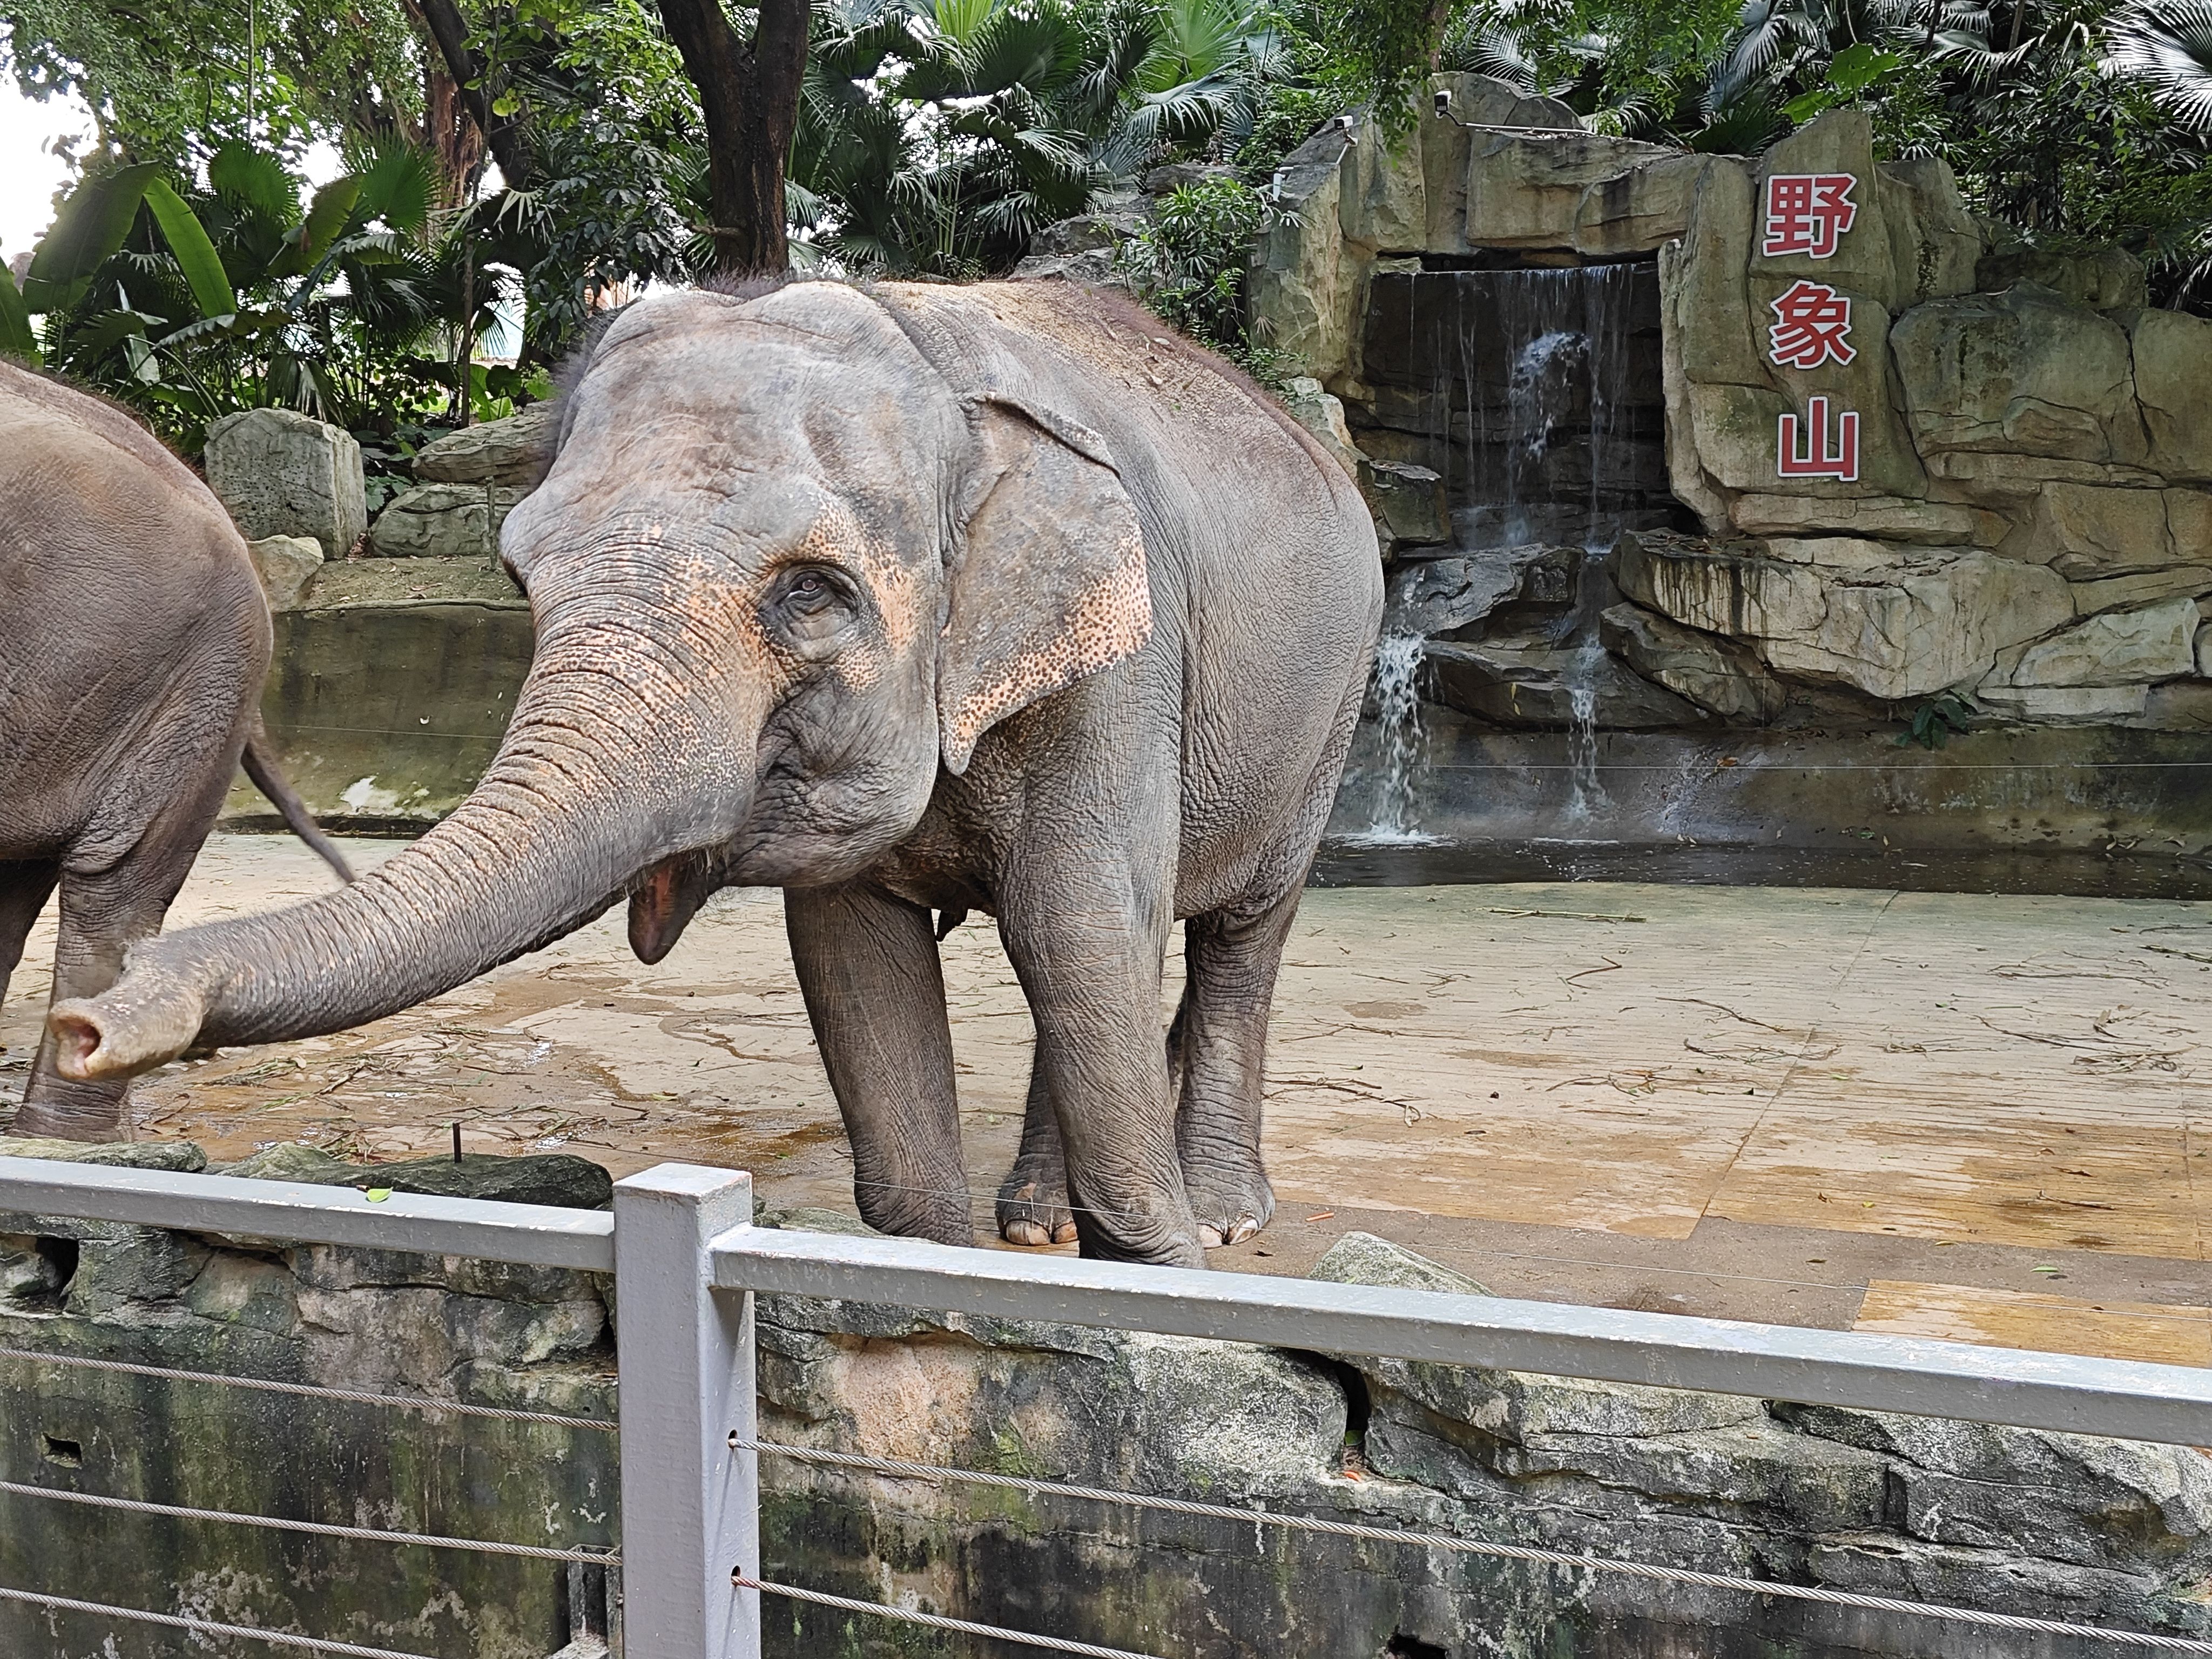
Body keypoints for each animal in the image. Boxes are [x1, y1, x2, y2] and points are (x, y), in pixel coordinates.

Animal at [49, 277, 1382, 1264]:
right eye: (521, 577)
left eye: (812, 594)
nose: (91, 1023)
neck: (924, 341)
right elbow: (856, 958)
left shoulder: (1122, 662)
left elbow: (1080, 921)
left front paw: (1159, 1260)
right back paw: (1035, 1224)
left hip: (1333, 706)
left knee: (1229, 934)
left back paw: (1222, 1211)